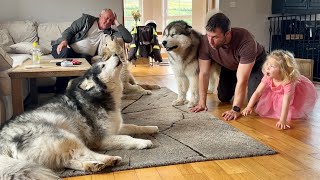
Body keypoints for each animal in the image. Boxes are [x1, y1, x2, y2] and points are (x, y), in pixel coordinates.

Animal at [0, 55, 159, 179]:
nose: (115, 54)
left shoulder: (116, 127)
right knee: (84, 152)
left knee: (69, 161)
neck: (99, 97)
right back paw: (109, 159)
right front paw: (142, 142)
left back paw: (94, 165)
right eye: (103, 65)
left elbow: (135, 126)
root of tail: (3, 141)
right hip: (66, 137)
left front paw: (151, 128)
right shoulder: (101, 139)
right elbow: (127, 138)